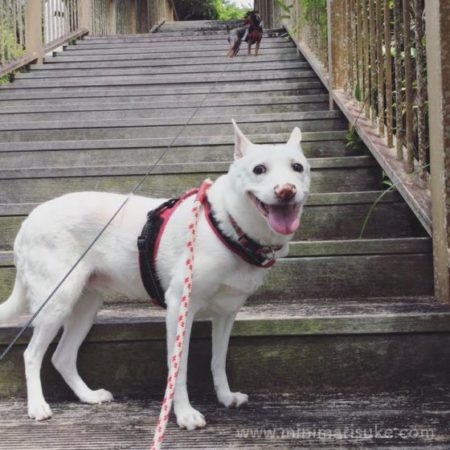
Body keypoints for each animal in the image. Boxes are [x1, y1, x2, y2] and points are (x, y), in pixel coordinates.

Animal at [0, 119, 310, 428]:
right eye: (259, 169)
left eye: (298, 167)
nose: (286, 190)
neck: (229, 226)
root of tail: (28, 221)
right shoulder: (179, 309)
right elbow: (179, 369)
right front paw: (184, 414)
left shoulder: (226, 314)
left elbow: (218, 360)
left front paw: (225, 396)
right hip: (57, 301)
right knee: (31, 355)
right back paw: (37, 406)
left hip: (85, 305)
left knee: (62, 357)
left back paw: (88, 396)